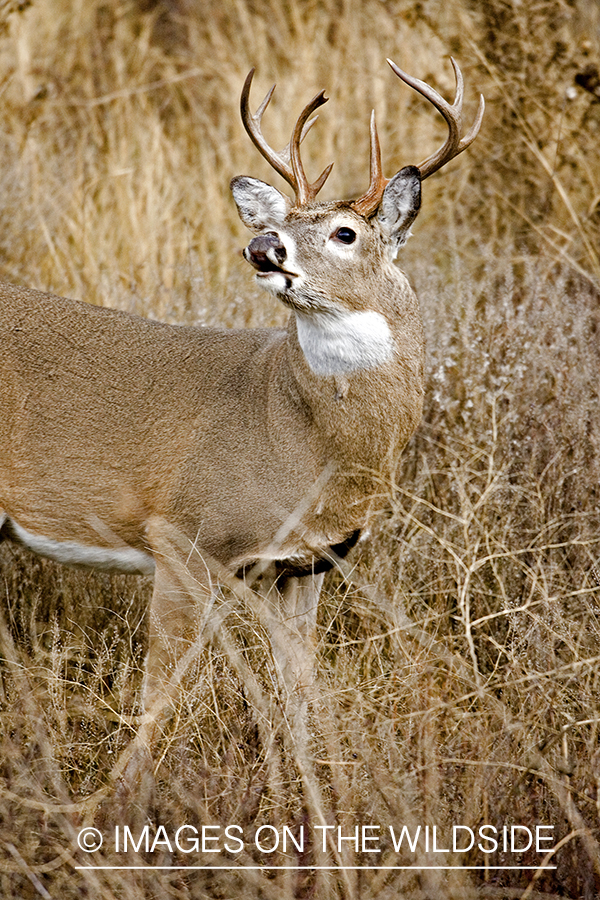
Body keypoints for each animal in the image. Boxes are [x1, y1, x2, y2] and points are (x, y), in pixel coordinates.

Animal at [0, 59, 482, 784]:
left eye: (345, 233)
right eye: (284, 219)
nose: (262, 245)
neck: (302, 441)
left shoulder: (305, 565)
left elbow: (302, 696)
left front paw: (312, 798)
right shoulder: (183, 533)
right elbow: (160, 695)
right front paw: (119, 801)